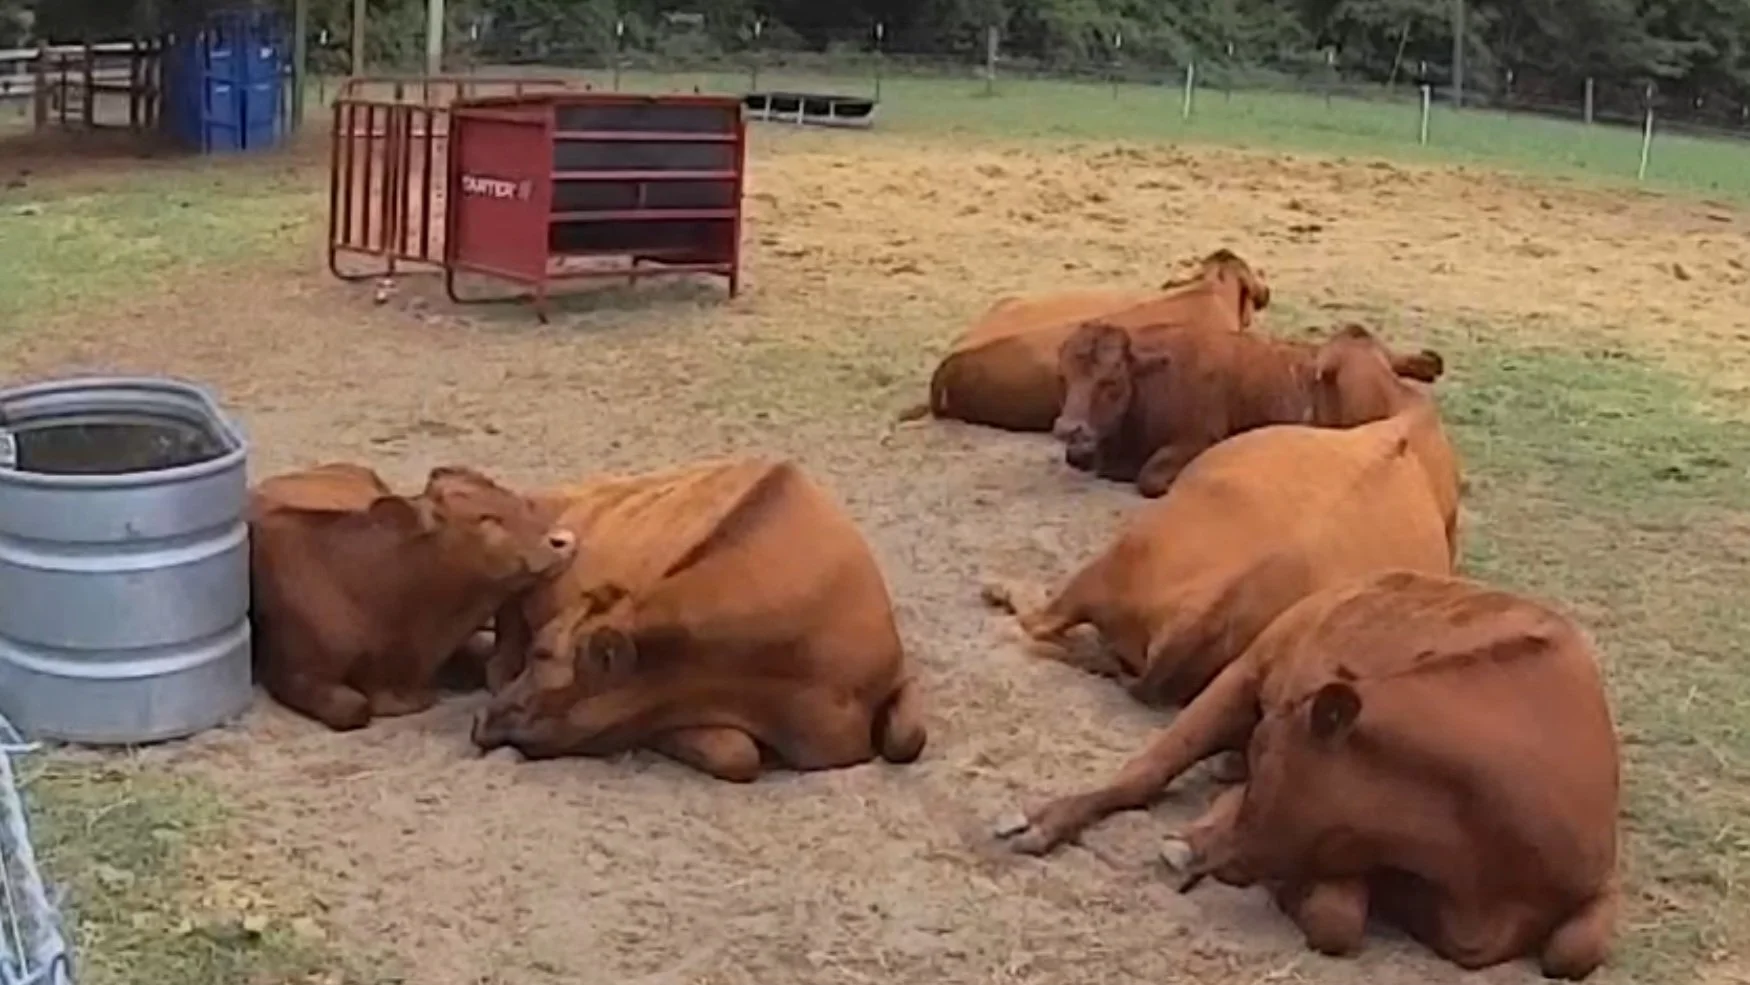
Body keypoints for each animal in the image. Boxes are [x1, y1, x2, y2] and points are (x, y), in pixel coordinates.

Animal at [996, 570, 1621, 980]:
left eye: (1268, 752)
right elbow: (1334, 918)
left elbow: (1573, 950)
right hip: (1243, 673)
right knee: (1145, 770)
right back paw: (1043, 821)